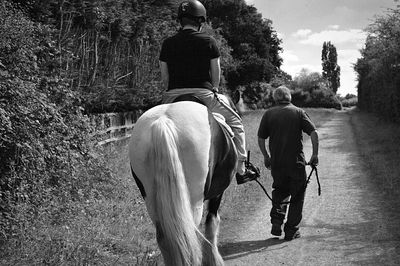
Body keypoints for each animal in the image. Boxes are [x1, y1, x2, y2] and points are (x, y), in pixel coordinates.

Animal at [130, 96, 239, 264]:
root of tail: (163, 122)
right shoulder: (218, 193)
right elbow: (212, 221)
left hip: (150, 200)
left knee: (164, 236)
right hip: (194, 199)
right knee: (189, 235)